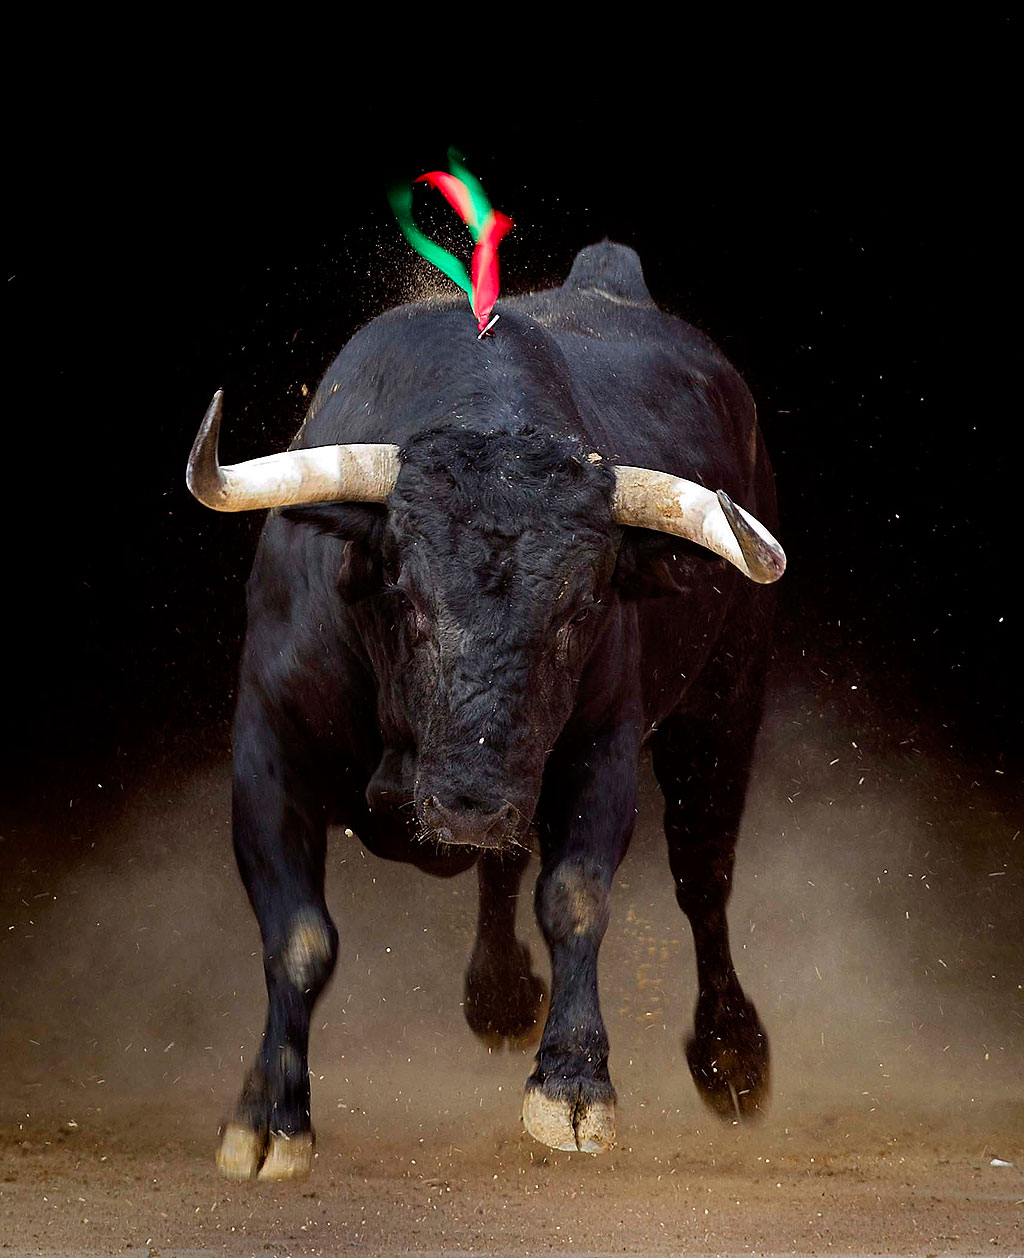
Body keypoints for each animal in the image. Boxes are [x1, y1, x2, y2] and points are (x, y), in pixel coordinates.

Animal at [186, 241, 785, 1181]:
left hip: (724, 705)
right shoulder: (267, 742)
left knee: (703, 875)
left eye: (581, 609)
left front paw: (572, 1088)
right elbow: (299, 934)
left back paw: (731, 1056)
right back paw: (500, 994)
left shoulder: (602, 747)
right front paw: (268, 1118)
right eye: (405, 594)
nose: (473, 801)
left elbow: (575, 896)